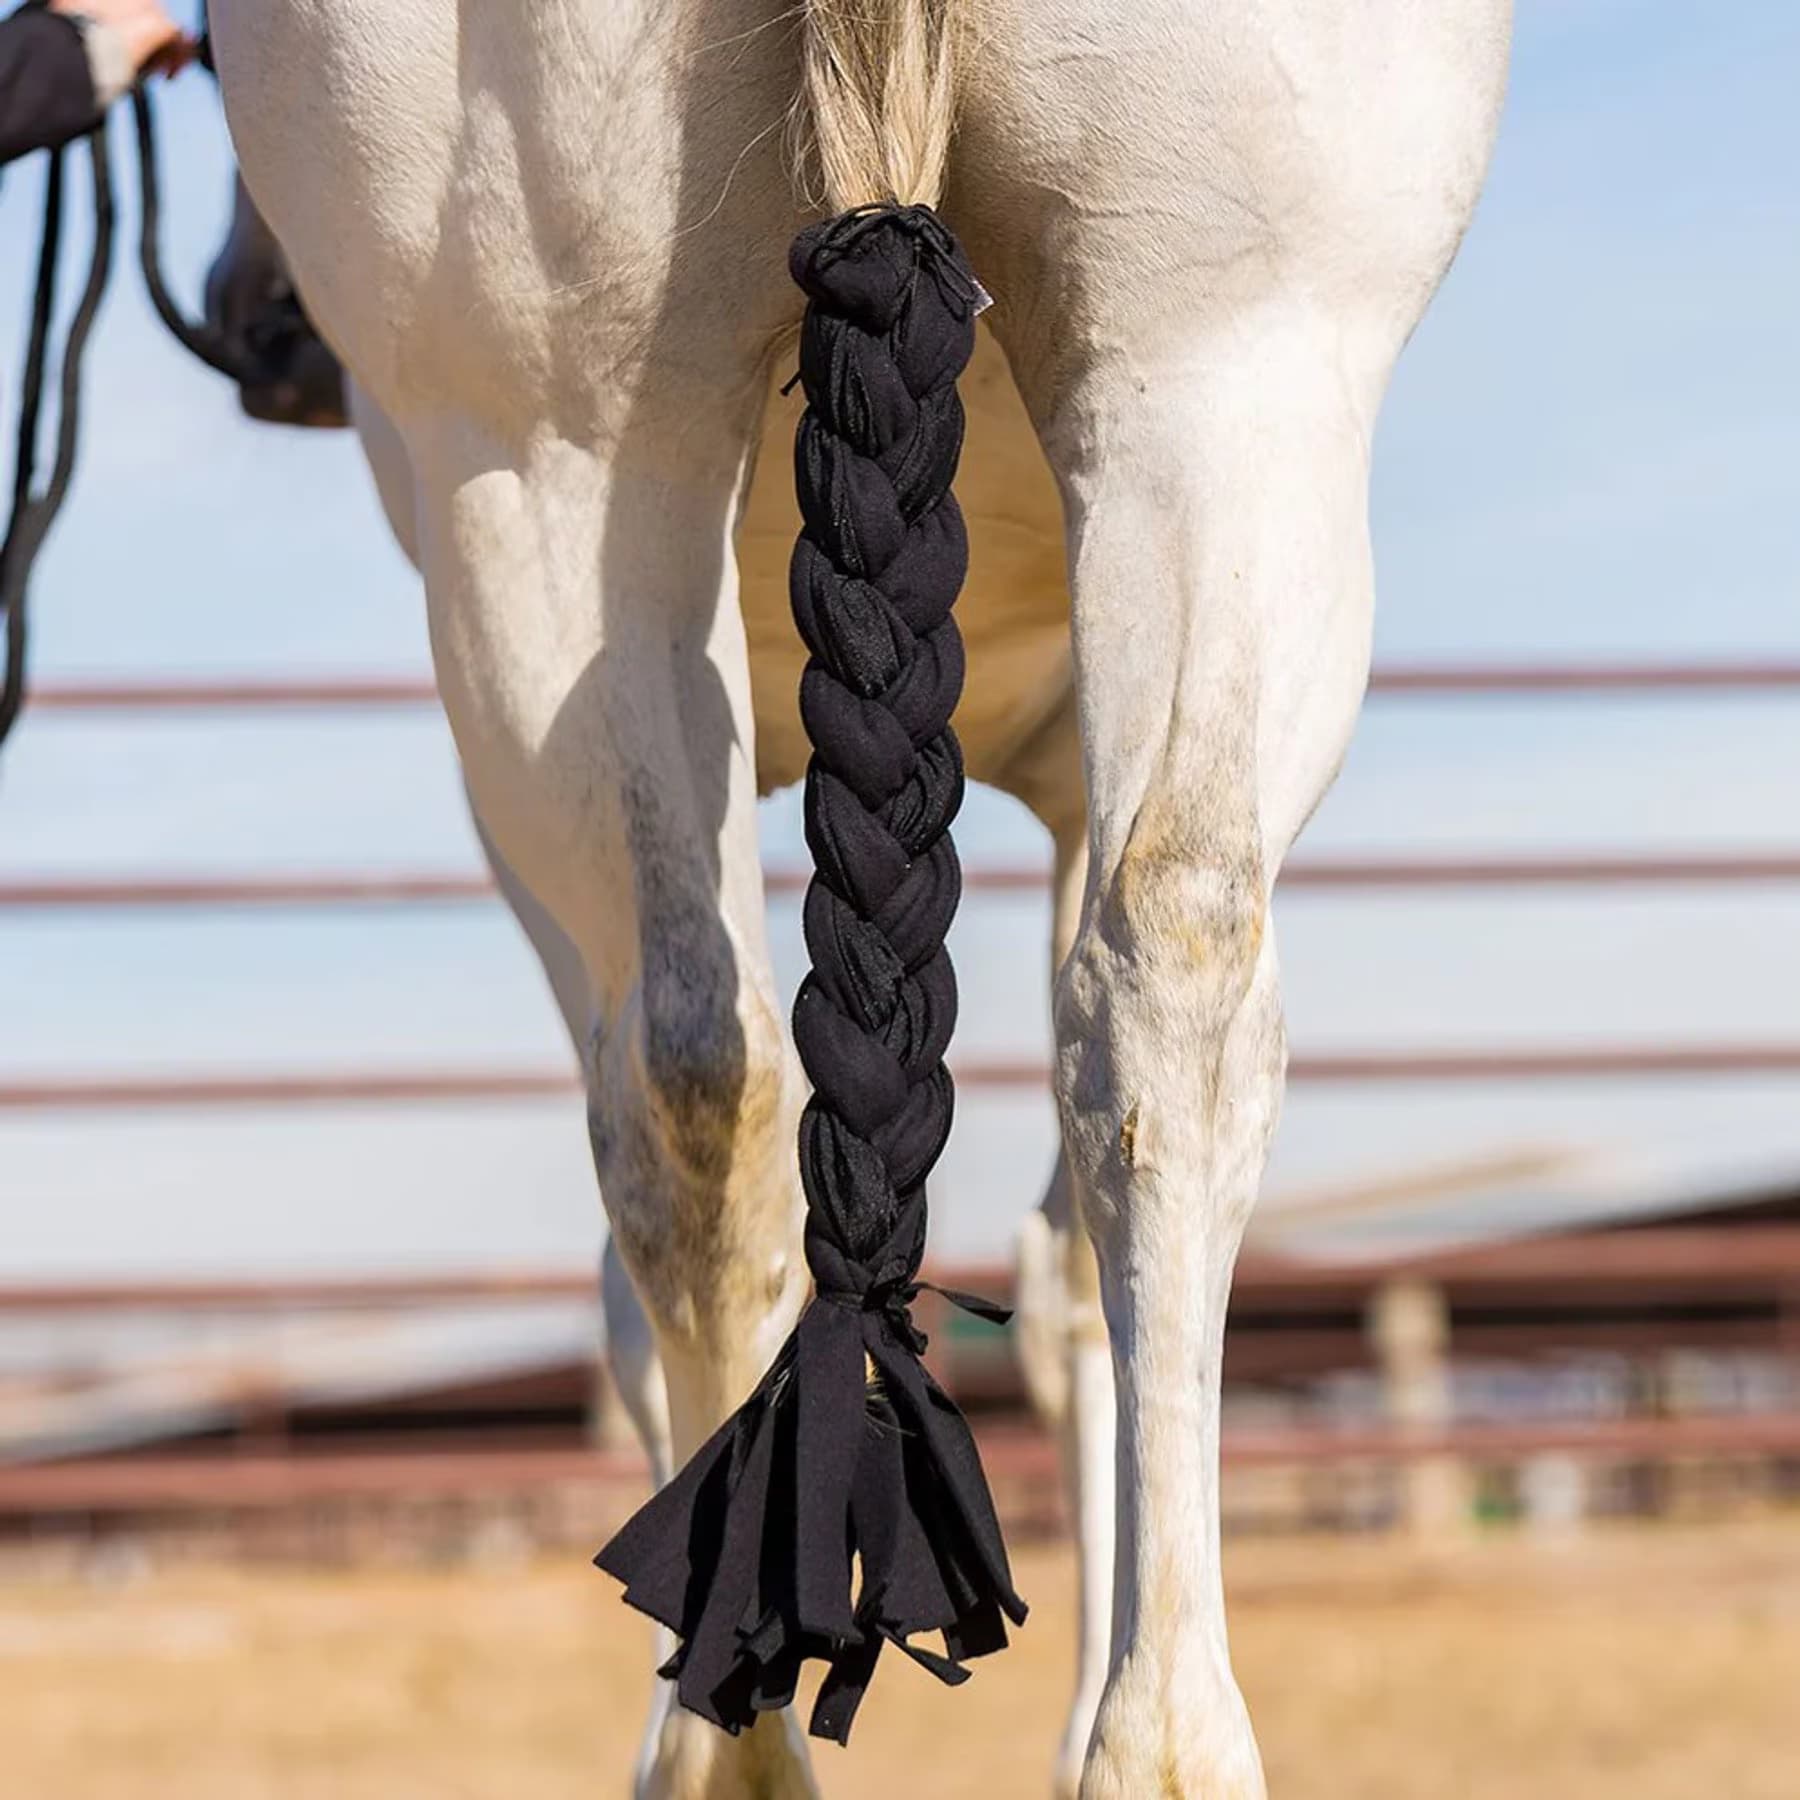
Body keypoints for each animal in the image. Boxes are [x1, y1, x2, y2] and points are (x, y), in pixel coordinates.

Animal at [205, 2, 1511, 1793]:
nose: (256, 322)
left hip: (554, 468)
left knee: (702, 1085)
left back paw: (744, 1741)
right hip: (1223, 364)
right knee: (1159, 971)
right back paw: (1153, 1741)